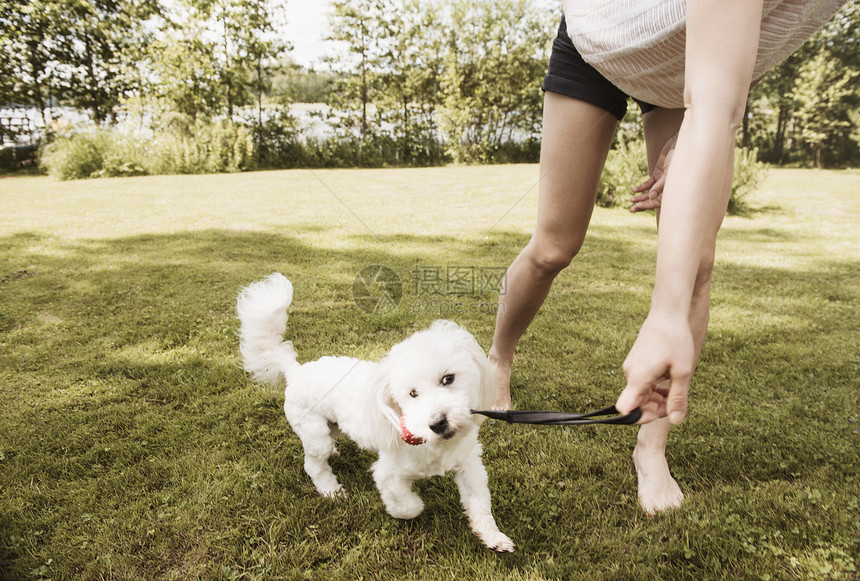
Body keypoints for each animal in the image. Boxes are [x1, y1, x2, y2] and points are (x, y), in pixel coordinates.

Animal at [235, 274, 512, 552]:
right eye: (412, 393)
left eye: (448, 378)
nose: (437, 423)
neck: (435, 445)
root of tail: (295, 370)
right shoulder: (388, 473)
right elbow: (405, 505)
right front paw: (414, 506)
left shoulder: (469, 465)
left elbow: (479, 504)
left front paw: (493, 536)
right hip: (315, 434)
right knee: (313, 465)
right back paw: (331, 491)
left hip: (333, 426)